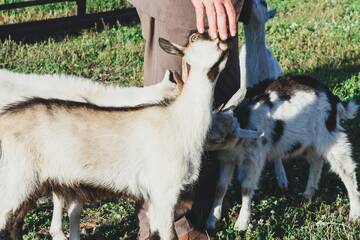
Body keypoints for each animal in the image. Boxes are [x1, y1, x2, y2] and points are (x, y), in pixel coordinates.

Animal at [0, 33, 231, 240]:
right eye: (195, 38)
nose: (226, 40)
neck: (179, 120)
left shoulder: (153, 194)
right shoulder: (165, 189)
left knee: (15, 223)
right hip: (16, 178)